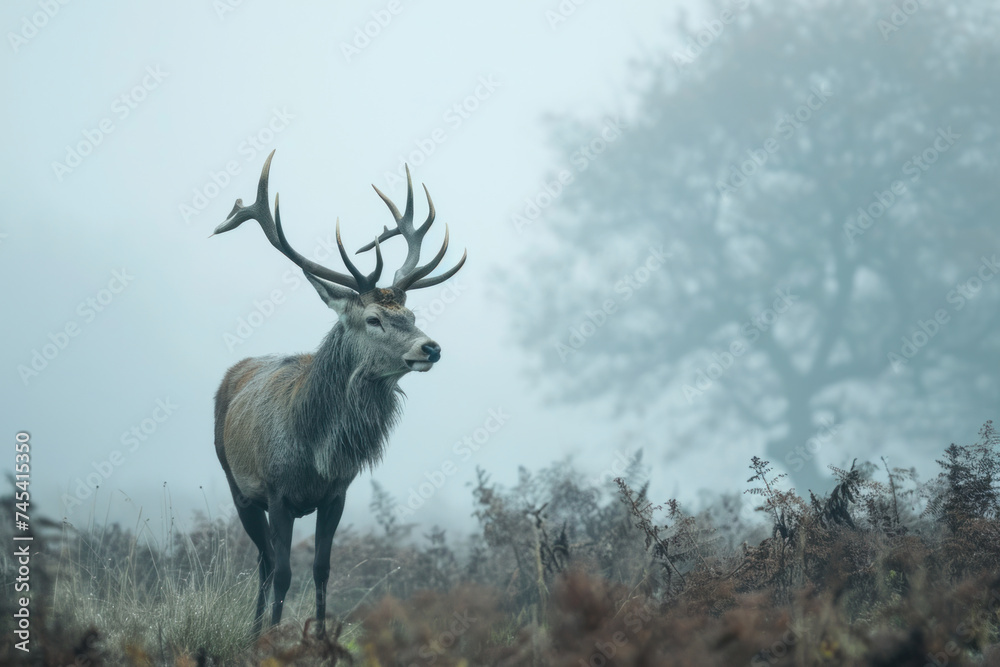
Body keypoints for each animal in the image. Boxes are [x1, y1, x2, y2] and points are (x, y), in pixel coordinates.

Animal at [212, 150, 468, 636]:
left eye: (410, 314)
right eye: (373, 319)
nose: (431, 347)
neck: (314, 450)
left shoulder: (337, 494)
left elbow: (322, 570)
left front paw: (319, 636)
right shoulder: (277, 492)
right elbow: (285, 571)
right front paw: (274, 639)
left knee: (264, 560)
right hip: (236, 484)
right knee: (265, 561)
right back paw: (255, 630)